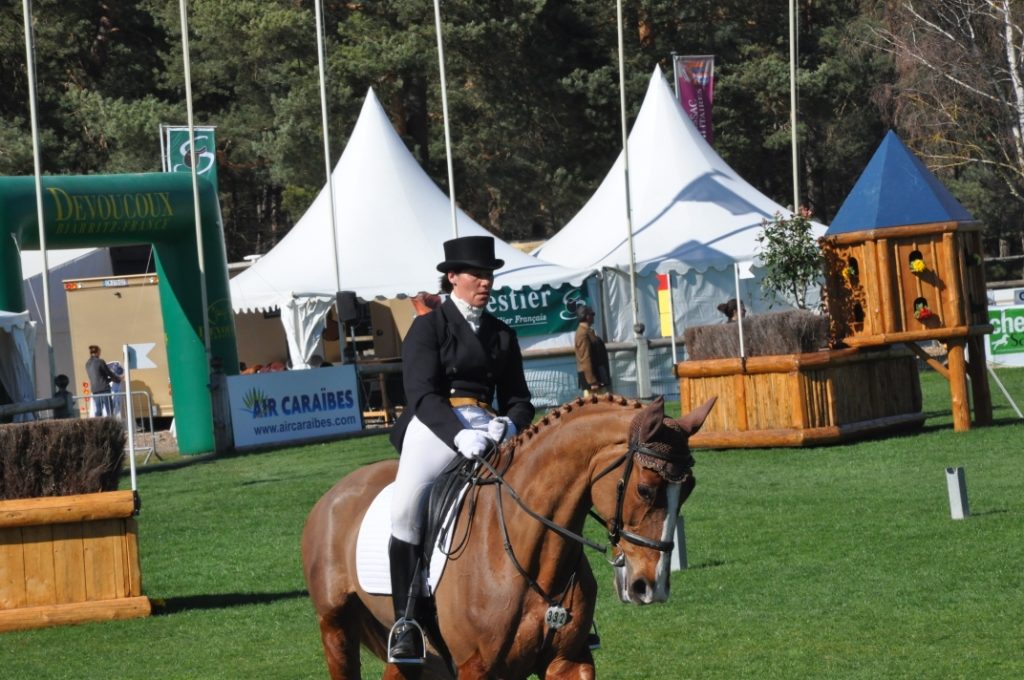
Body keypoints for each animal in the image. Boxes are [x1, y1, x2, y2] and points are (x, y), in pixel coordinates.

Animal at [299, 393, 716, 680]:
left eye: (690, 488)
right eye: (645, 489)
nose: (651, 586)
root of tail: (333, 495)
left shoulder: (569, 661)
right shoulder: (477, 668)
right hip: (335, 627)